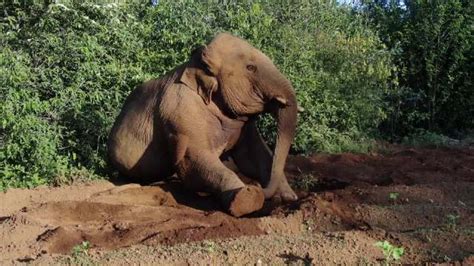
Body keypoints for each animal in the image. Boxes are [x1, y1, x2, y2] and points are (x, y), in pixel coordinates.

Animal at [109, 32, 298, 217]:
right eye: (251, 67)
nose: (256, 186)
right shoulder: (181, 113)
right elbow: (194, 161)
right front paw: (246, 199)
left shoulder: (244, 126)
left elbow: (253, 155)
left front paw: (290, 197)